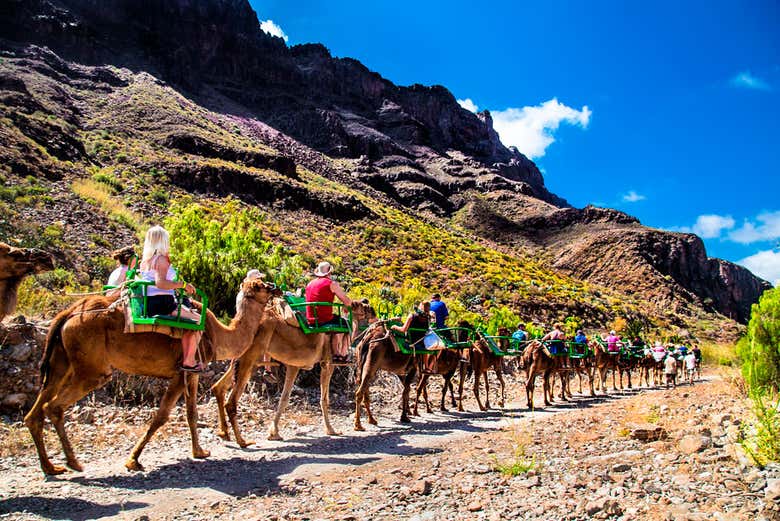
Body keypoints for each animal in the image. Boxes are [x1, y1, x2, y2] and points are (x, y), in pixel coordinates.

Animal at [25, 278, 278, 474]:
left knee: (36, 410)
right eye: (262, 285)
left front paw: (199, 451)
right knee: (54, 406)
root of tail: (69, 313)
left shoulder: (191, 372)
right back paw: (74, 462)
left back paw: (51, 467)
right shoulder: (183, 370)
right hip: (91, 368)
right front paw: (133, 460)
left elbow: (191, 413)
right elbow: (162, 416)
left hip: (61, 362)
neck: (219, 335)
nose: (276, 287)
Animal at [210, 298, 374, 444]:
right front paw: (331, 430)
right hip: (251, 358)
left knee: (218, 387)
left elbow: (284, 398)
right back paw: (242, 441)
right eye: (362, 305)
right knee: (231, 401)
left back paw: (224, 433)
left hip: (240, 358)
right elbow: (323, 399)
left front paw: (274, 432)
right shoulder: (326, 364)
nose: (371, 307)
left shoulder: (293, 365)